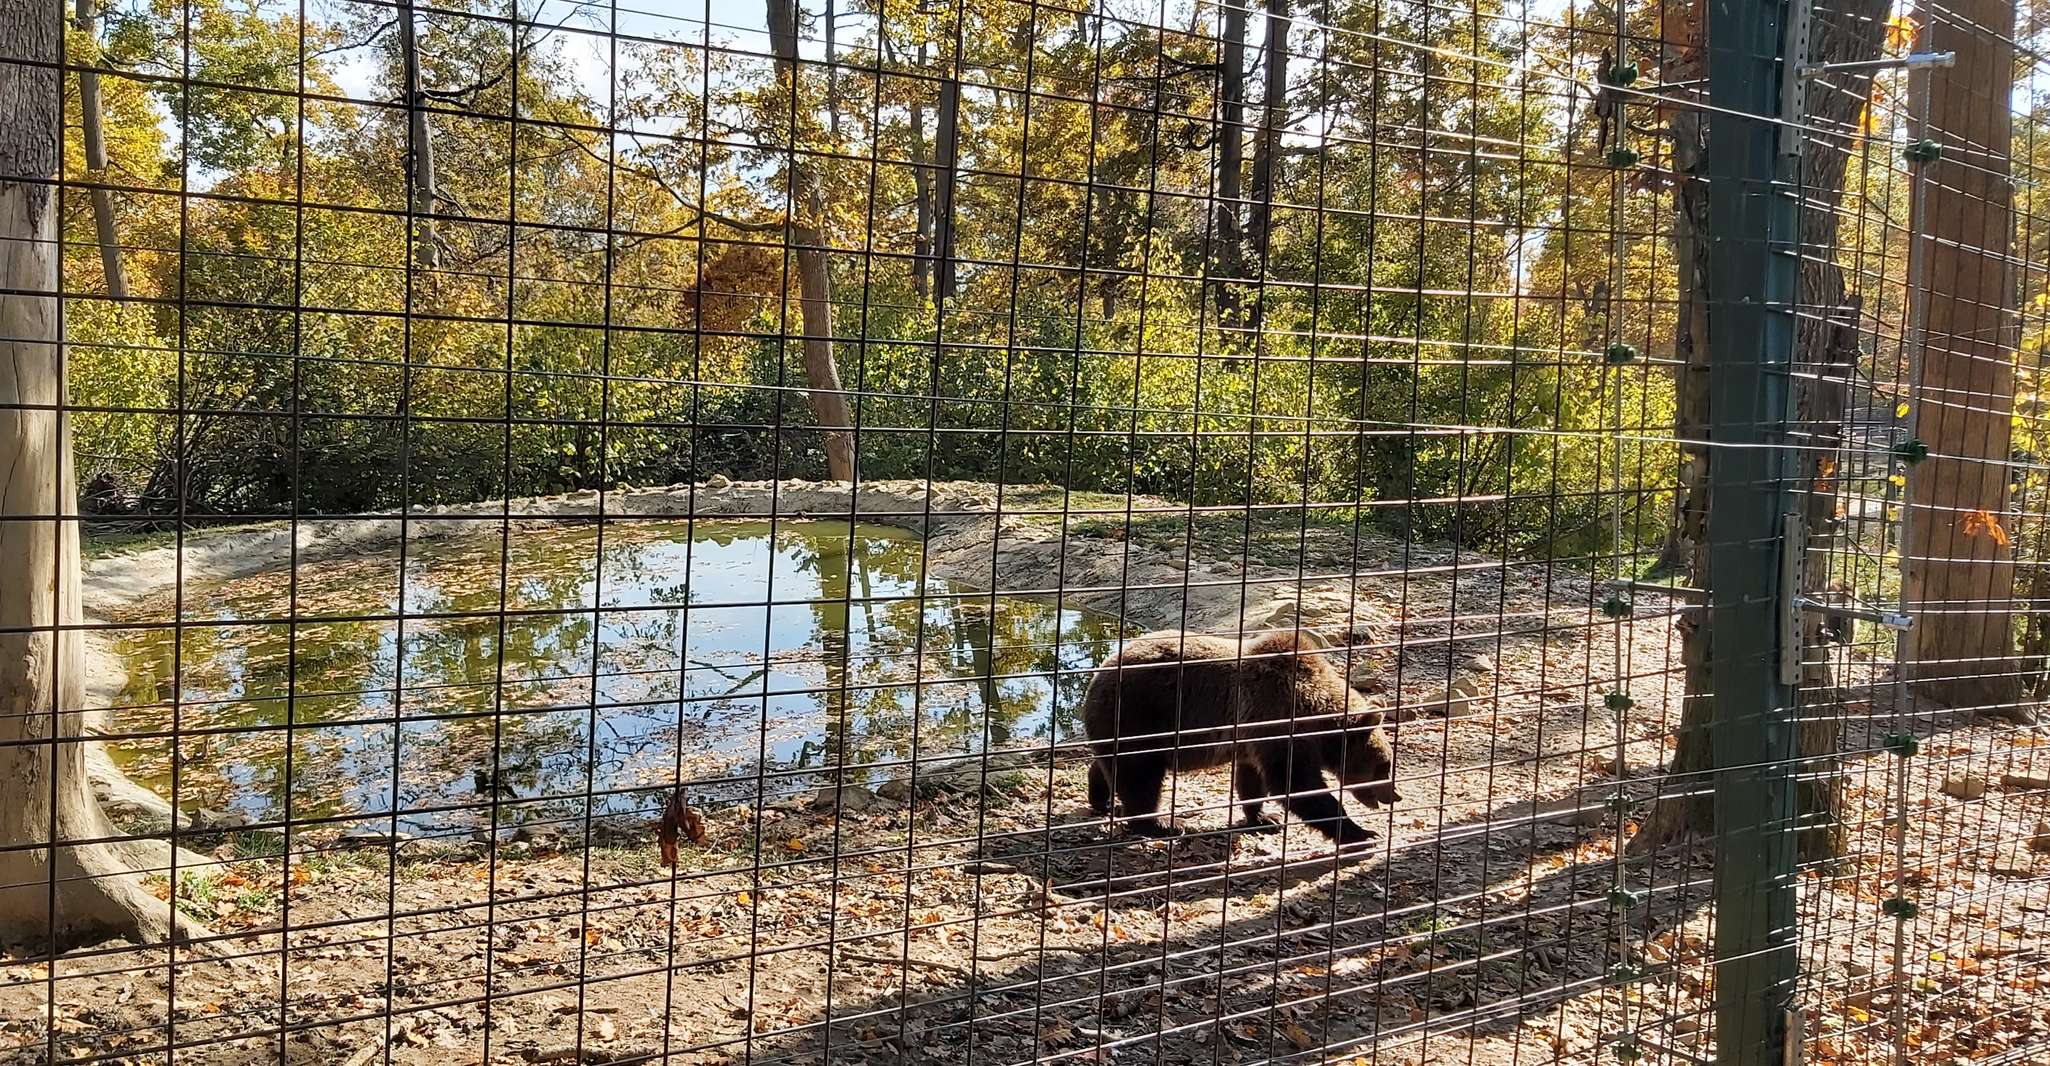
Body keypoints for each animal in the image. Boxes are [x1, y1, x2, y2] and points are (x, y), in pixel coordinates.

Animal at [1082, 627, 1402, 844]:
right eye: (1384, 766)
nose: (1395, 795)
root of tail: (1097, 675)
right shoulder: (1276, 719)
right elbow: (1297, 784)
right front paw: (1361, 832)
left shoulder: (1254, 738)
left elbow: (1253, 779)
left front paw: (1264, 818)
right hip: (1140, 715)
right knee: (1141, 776)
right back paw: (1160, 824)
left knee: (1113, 766)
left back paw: (1103, 799)